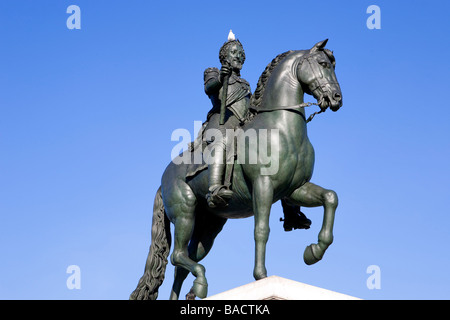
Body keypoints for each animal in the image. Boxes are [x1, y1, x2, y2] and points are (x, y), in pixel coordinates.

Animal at [130, 39, 344, 300]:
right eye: (323, 64)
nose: (337, 98)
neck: (280, 128)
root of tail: (163, 180)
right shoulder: (263, 185)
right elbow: (261, 230)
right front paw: (261, 275)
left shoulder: (295, 189)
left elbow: (330, 198)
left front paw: (313, 252)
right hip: (185, 213)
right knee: (177, 256)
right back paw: (201, 282)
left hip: (207, 226)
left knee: (183, 263)